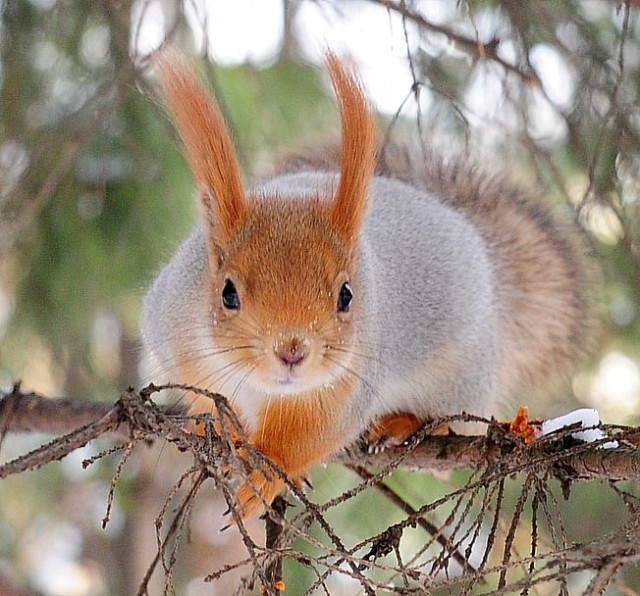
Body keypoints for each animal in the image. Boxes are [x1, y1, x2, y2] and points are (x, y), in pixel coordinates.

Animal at [142, 50, 596, 516]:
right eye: (227, 292)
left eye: (347, 296)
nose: (292, 351)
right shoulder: (177, 343)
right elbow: (205, 399)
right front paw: (222, 429)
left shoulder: (345, 389)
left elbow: (310, 438)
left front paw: (267, 473)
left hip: (461, 375)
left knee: (450, 418)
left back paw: (401, 423)